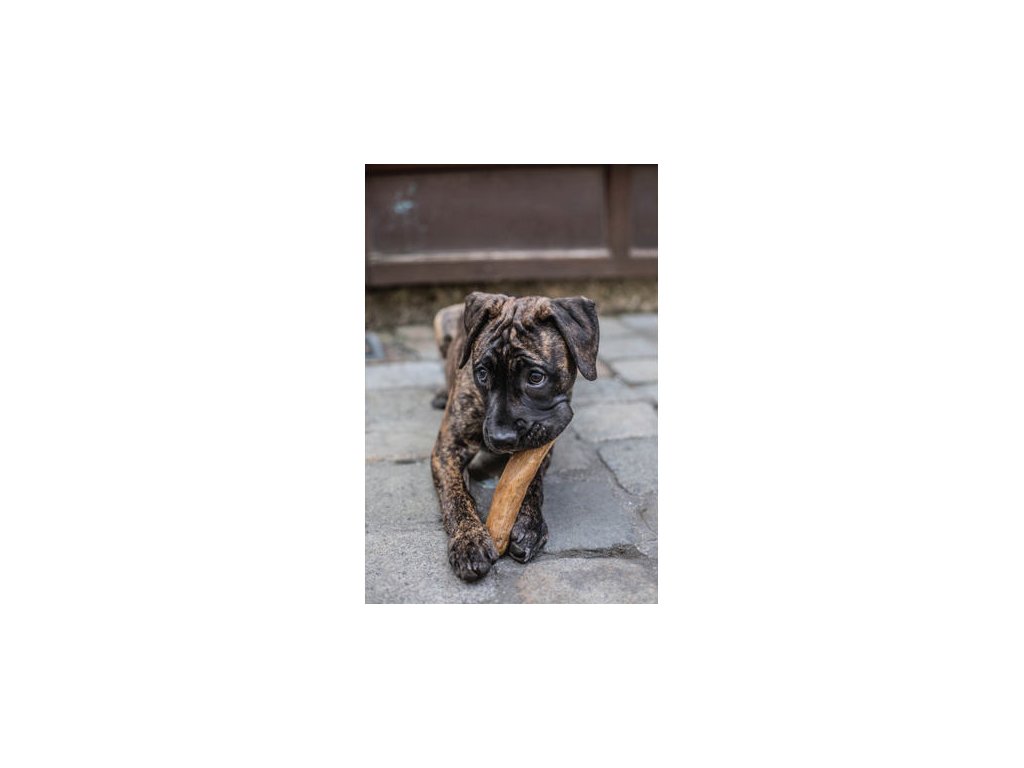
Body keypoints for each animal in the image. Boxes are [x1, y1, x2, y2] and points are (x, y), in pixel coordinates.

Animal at [430, 292, 600, 581]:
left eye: (536, 377)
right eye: (482, 373)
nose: (500, 439)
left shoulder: (544, 443)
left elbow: (530, 482)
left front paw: (529, 524)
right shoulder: (448, 449)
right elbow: (456, 495)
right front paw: (469, 540)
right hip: (441, 320)